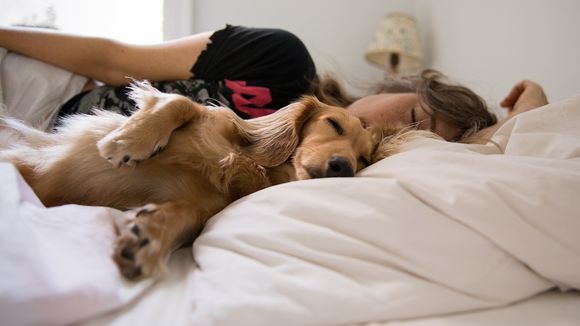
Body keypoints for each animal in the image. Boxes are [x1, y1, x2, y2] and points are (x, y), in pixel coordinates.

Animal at [0, 82, 408, 280]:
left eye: (364, 159)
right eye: (334, 124)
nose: (344, 167)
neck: (247, 164)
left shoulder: (201, 206)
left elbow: (185, 214)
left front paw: (148, 237)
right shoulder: (210, 119)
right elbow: (180, 102)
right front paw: (128, 141)